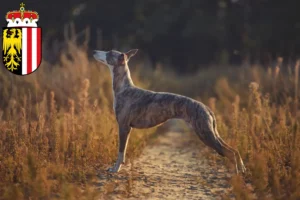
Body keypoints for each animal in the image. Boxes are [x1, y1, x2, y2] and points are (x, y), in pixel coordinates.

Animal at [94, 49, 246, 173]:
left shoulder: (123, 127)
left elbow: (120, 152)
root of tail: (206, 108)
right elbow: (123, 152)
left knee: (230, 153)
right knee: (235, 151)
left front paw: (115, 169)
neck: (124, 88)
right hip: (212, 133)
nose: (94, 51)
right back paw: (242, 169)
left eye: (109, 52)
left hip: (205, 134)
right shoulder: (128, 128)